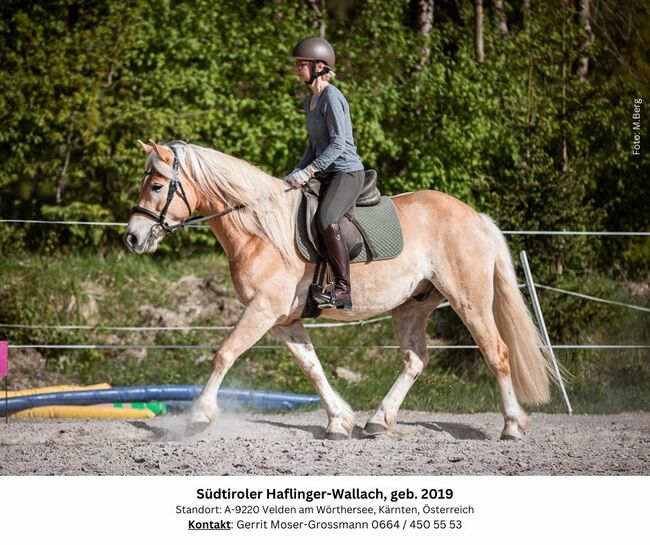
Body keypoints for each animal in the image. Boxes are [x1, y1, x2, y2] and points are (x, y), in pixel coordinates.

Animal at [125, 139, 552, 438]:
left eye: (158, 185)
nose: (132, 238)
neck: (259, 230)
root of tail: (475, 217)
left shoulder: (261, 310)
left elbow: (224, 354)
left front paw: (198, 416)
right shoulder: (284, 320)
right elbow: (312, 368)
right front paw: (339, 421)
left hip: (469, 300)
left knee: (497, 353)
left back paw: (512, 426)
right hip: (411, 306)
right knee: (414, 360)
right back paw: (378, 420)